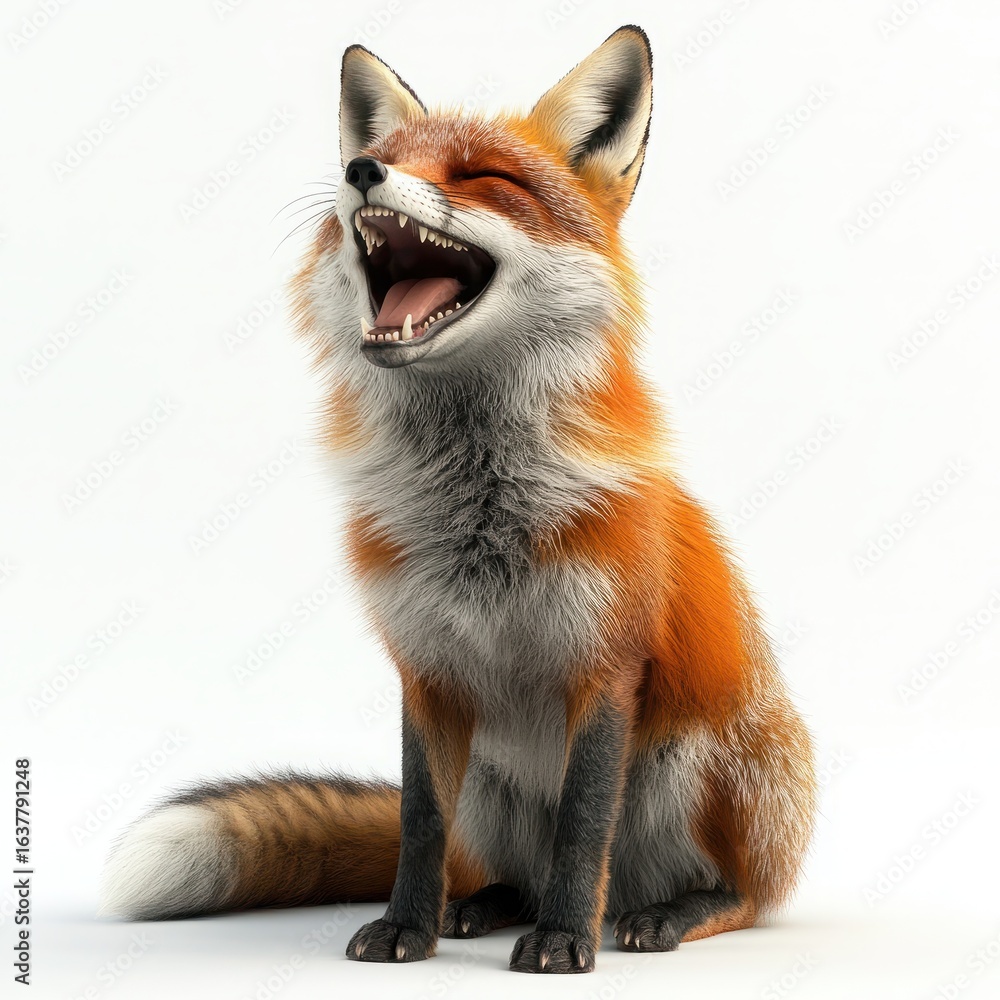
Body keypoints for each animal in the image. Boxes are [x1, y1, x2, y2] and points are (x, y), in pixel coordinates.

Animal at [100, 25, 816, 975]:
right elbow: (418, 821)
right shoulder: (426, 669)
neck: (477, 510)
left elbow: (583, 825)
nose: (360, 169)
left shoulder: (605, 666)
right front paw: (410, 927)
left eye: (483, 176)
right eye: (386, 156)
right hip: (489, 782)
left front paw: (564, 941)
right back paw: (483, 903)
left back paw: (657, 912)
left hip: (699, 763)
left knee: (733, 892)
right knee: (501, 867)